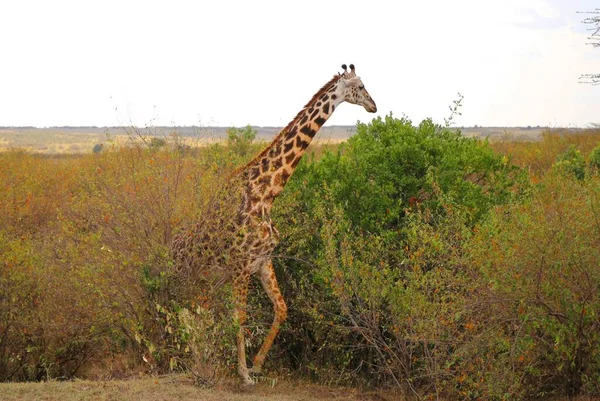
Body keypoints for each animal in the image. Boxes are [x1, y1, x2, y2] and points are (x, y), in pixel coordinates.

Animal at [172, 64, 376, 382]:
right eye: (362, 86)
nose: (374, 106)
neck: (267, 194)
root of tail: (170, 250)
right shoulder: (241, 264)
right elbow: (240, 316)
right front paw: (243, 373)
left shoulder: (263, 260)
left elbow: (281, 308)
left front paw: (256, 364)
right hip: (191, 277)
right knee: (186, 312)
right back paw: (197, 362)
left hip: (205, 281)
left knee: (194, 312)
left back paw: (200, 361)